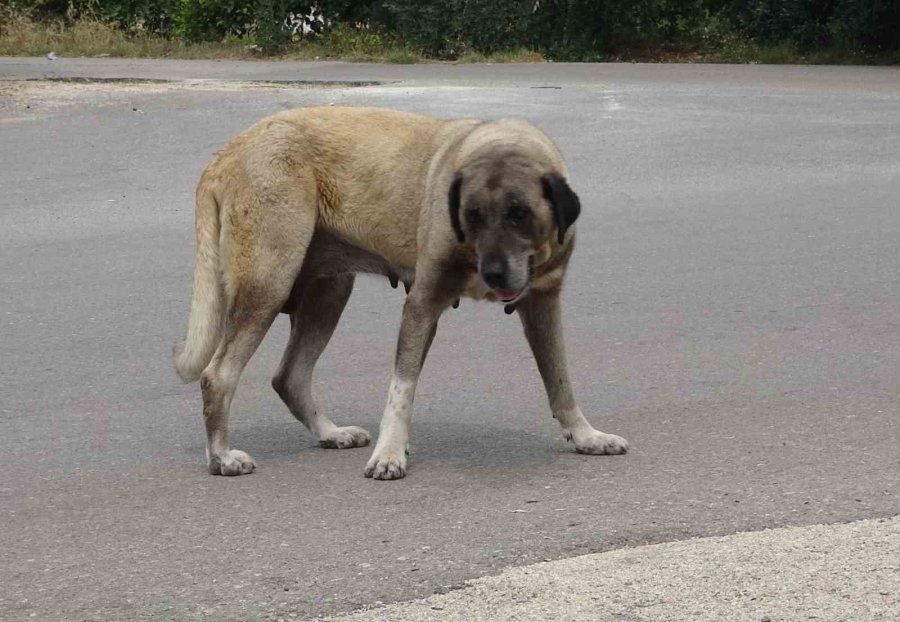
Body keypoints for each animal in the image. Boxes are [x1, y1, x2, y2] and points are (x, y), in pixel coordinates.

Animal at [174, 107, 624, 480]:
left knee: (290, 375)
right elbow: (401, 390)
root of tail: (226, 152)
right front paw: (390, 453)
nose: (493, 274)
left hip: (329, 290)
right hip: (269, 282)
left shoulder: (543, 304)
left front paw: (586, 436)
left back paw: (330, 432)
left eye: (520, 214)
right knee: (218, 374)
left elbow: (560, 379)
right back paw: (222, 456)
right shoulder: (422, 304)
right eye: (472, 216)